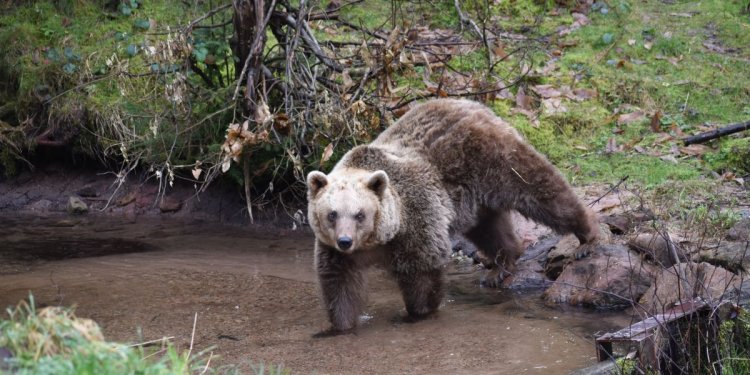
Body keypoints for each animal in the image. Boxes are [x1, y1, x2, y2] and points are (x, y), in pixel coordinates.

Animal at [306, 98, 600, 334]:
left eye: (360, 214)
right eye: (332, 214)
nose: (345, 241)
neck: (380, 238)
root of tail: (472, 104)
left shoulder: (415, 220)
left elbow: (422, 269)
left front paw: (418, 312)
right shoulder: (336, 253)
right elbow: (339, 284)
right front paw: (339, 327)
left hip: (494, 160)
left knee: (541, 190)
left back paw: (587, 237)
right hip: (472, 198)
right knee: (489, 228)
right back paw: (500, 266)